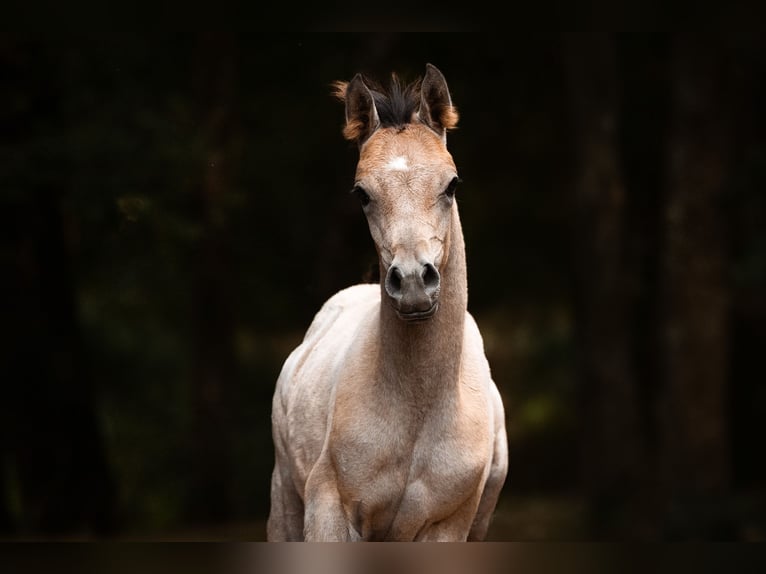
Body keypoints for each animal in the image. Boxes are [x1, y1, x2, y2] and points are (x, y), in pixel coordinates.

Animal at [267, 63, 508, 541]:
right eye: (362, 193)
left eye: (451, 184)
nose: (413, 282)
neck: (418, 410)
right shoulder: (329, 510)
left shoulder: (448, 525)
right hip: (285, 503)